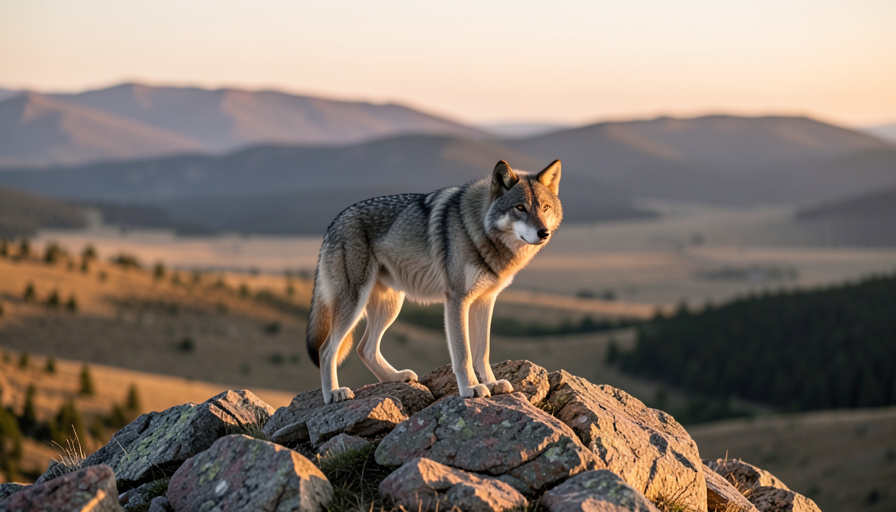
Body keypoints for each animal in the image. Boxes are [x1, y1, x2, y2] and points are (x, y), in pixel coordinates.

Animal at [306, 160, 562, 404]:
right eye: (520, 207)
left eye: (545, 208)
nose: (543, 232)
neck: (478, 229)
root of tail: (333, 223)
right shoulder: (457, 299)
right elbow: (463, 354)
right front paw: (471, 388)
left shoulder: (485, 301)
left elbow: (482, 352)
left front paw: (492, 383)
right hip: (355, 304)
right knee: (326, 350)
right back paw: (333, 393)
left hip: (391, 306)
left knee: (364, 349)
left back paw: (395, 377)